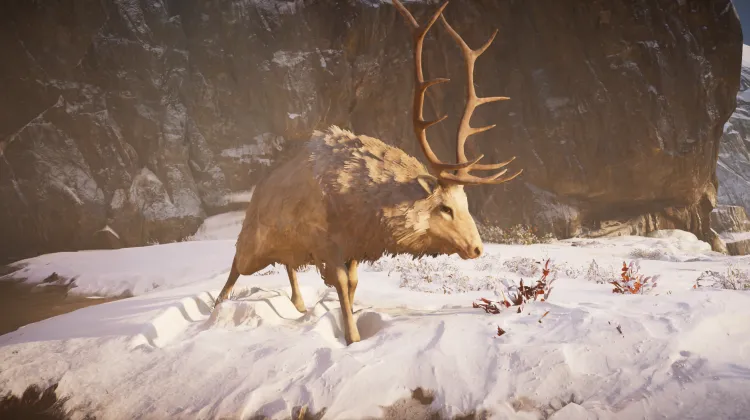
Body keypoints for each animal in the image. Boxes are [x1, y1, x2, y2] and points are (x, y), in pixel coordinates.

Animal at [213, 0, 522, 345]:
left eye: (466, 205)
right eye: (445, 208)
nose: (477, 247)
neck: (365, 209)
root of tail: (258, 190)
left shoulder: (354, 248)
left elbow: (353, 284)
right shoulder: (326, 244)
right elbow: (341, 285)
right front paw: (353, 338)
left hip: (287, 244)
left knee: (288, 265)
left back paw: (299, 304)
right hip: (253, 240)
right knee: (235, 266)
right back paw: (217, 307)